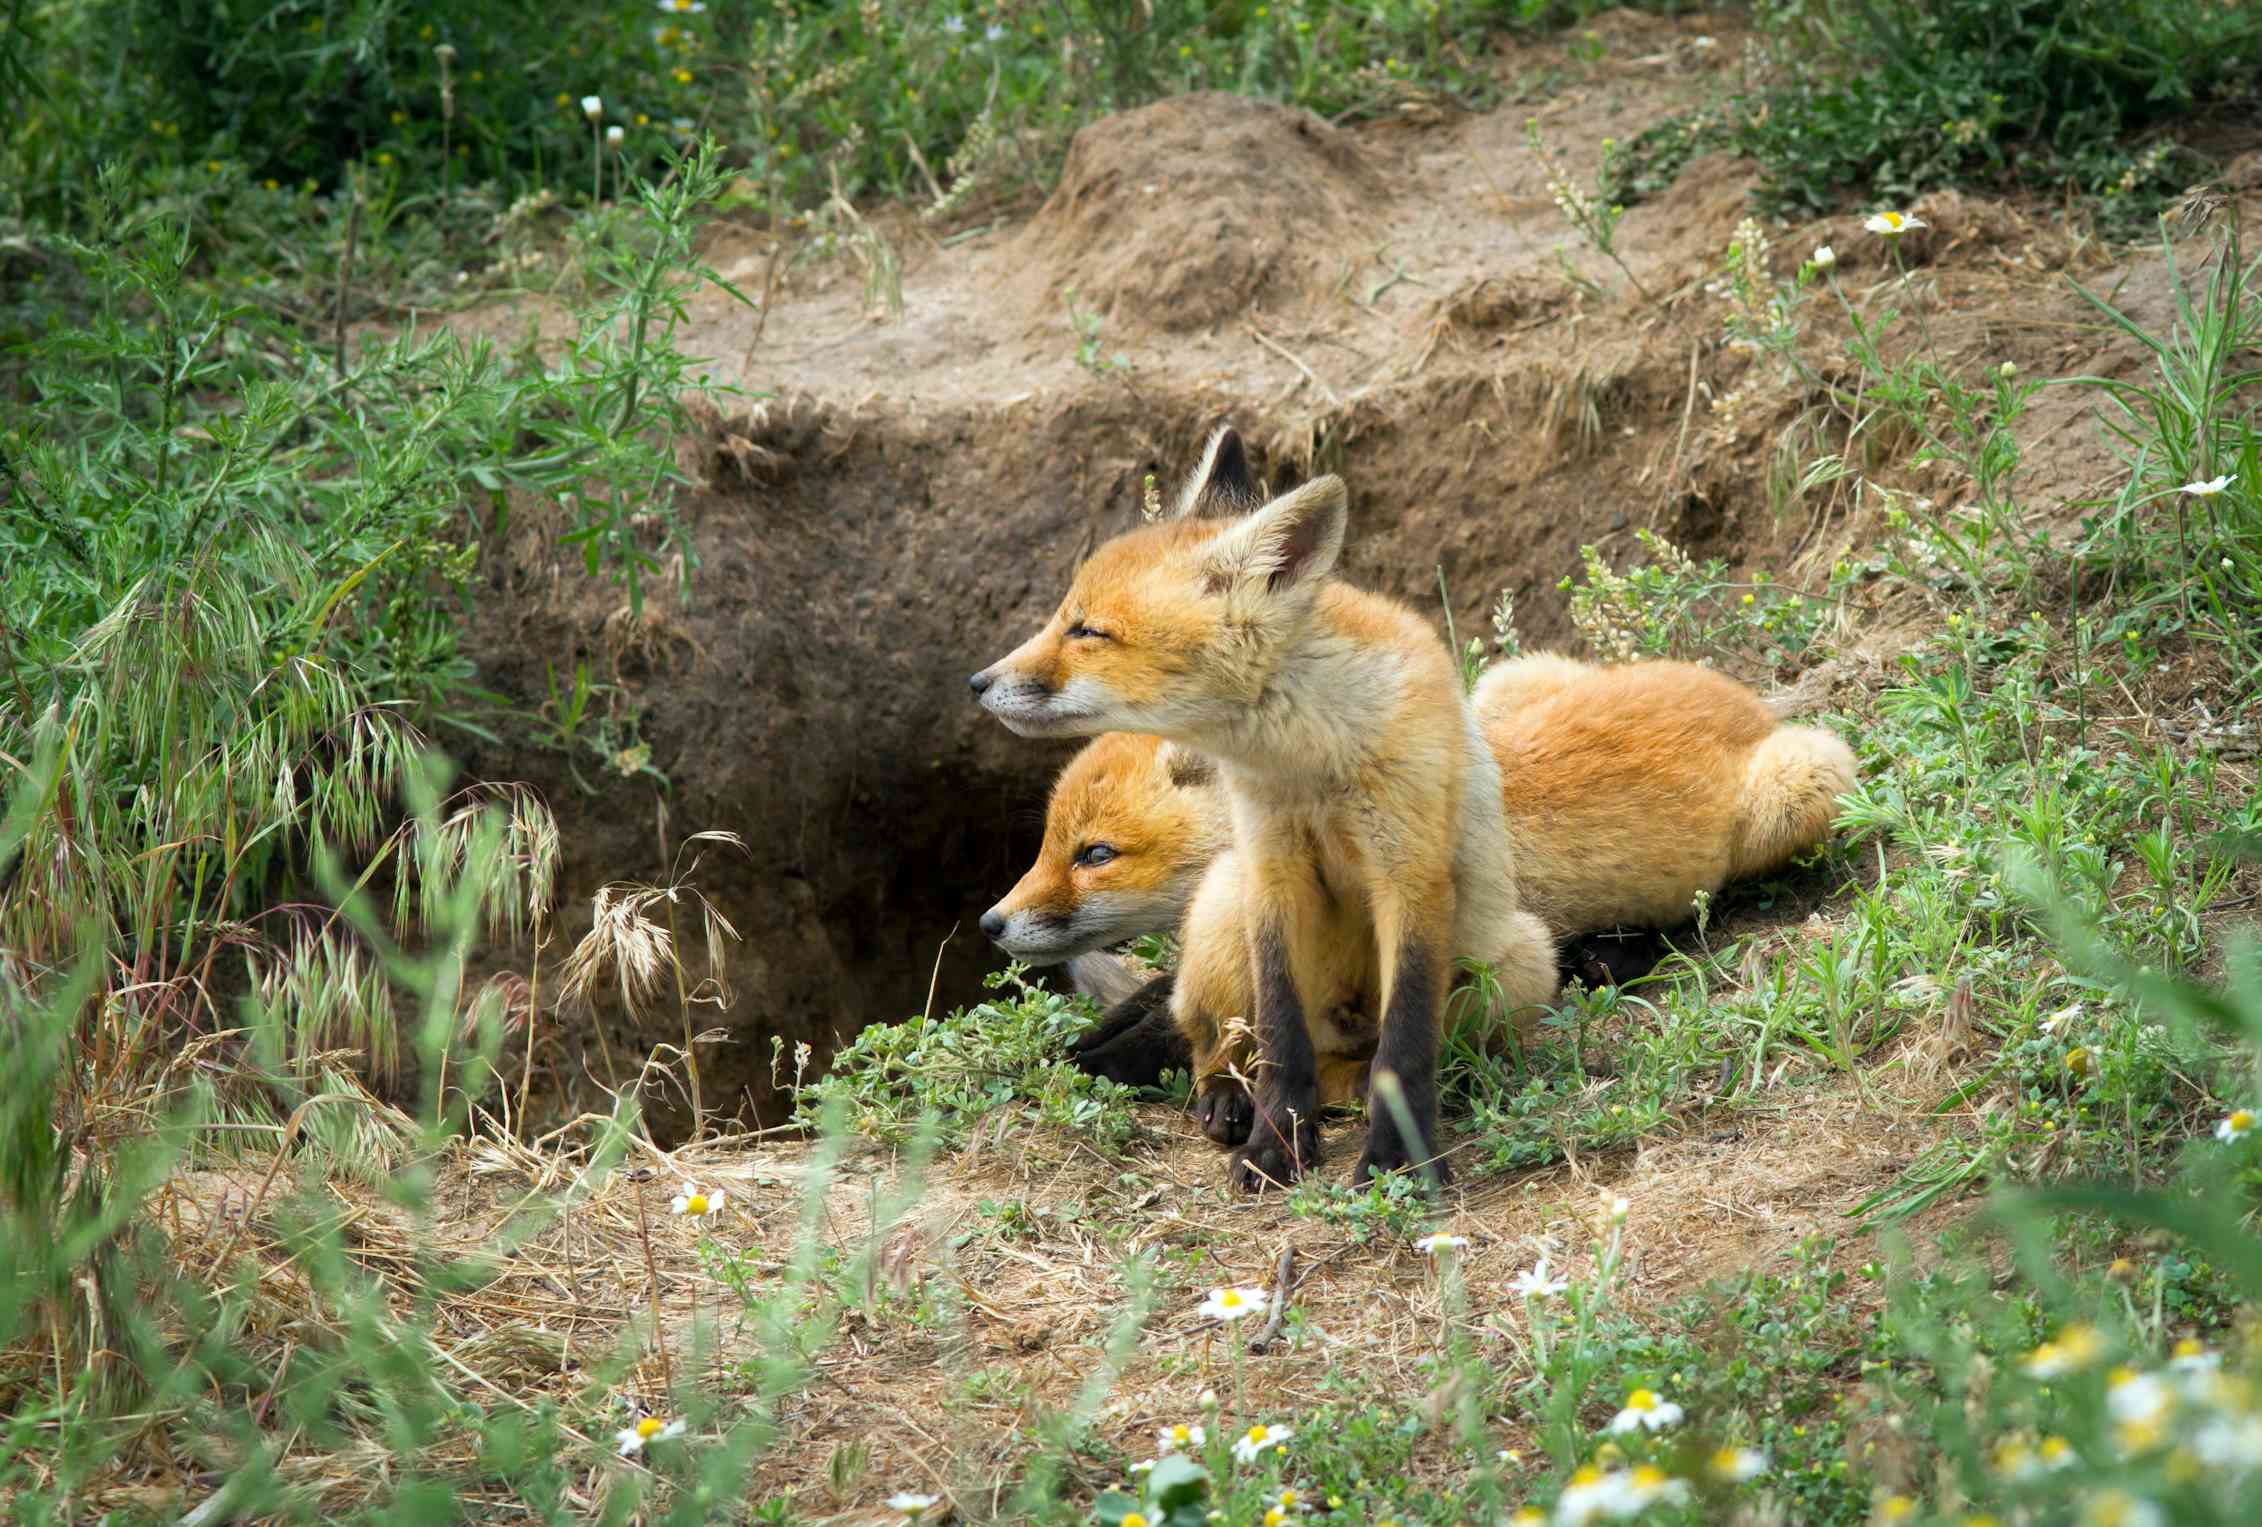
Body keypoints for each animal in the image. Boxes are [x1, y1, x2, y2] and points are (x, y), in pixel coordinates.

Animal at [970, 426, 1559, 1190]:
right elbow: (1279, 1030)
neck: (1311, 764)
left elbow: (1404, 1040)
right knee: (1218, 1043)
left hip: (1520, 962)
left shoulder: (1410, 870)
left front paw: (1395, 1155)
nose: (976, 681)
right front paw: (1277, 1142)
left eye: (1087, 631)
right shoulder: (1271, 864)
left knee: (1363, 1061)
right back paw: (1230, 1099)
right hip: (1227, 895)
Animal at [982, 658, 1855, 1142]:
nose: (992, 922)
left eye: (1096, 854)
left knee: (1715, 907)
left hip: (1803, 790)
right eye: (1048, 842)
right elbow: (1166, 1003)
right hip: (1495, 685)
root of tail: (1742, 696)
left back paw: (1621, 947)